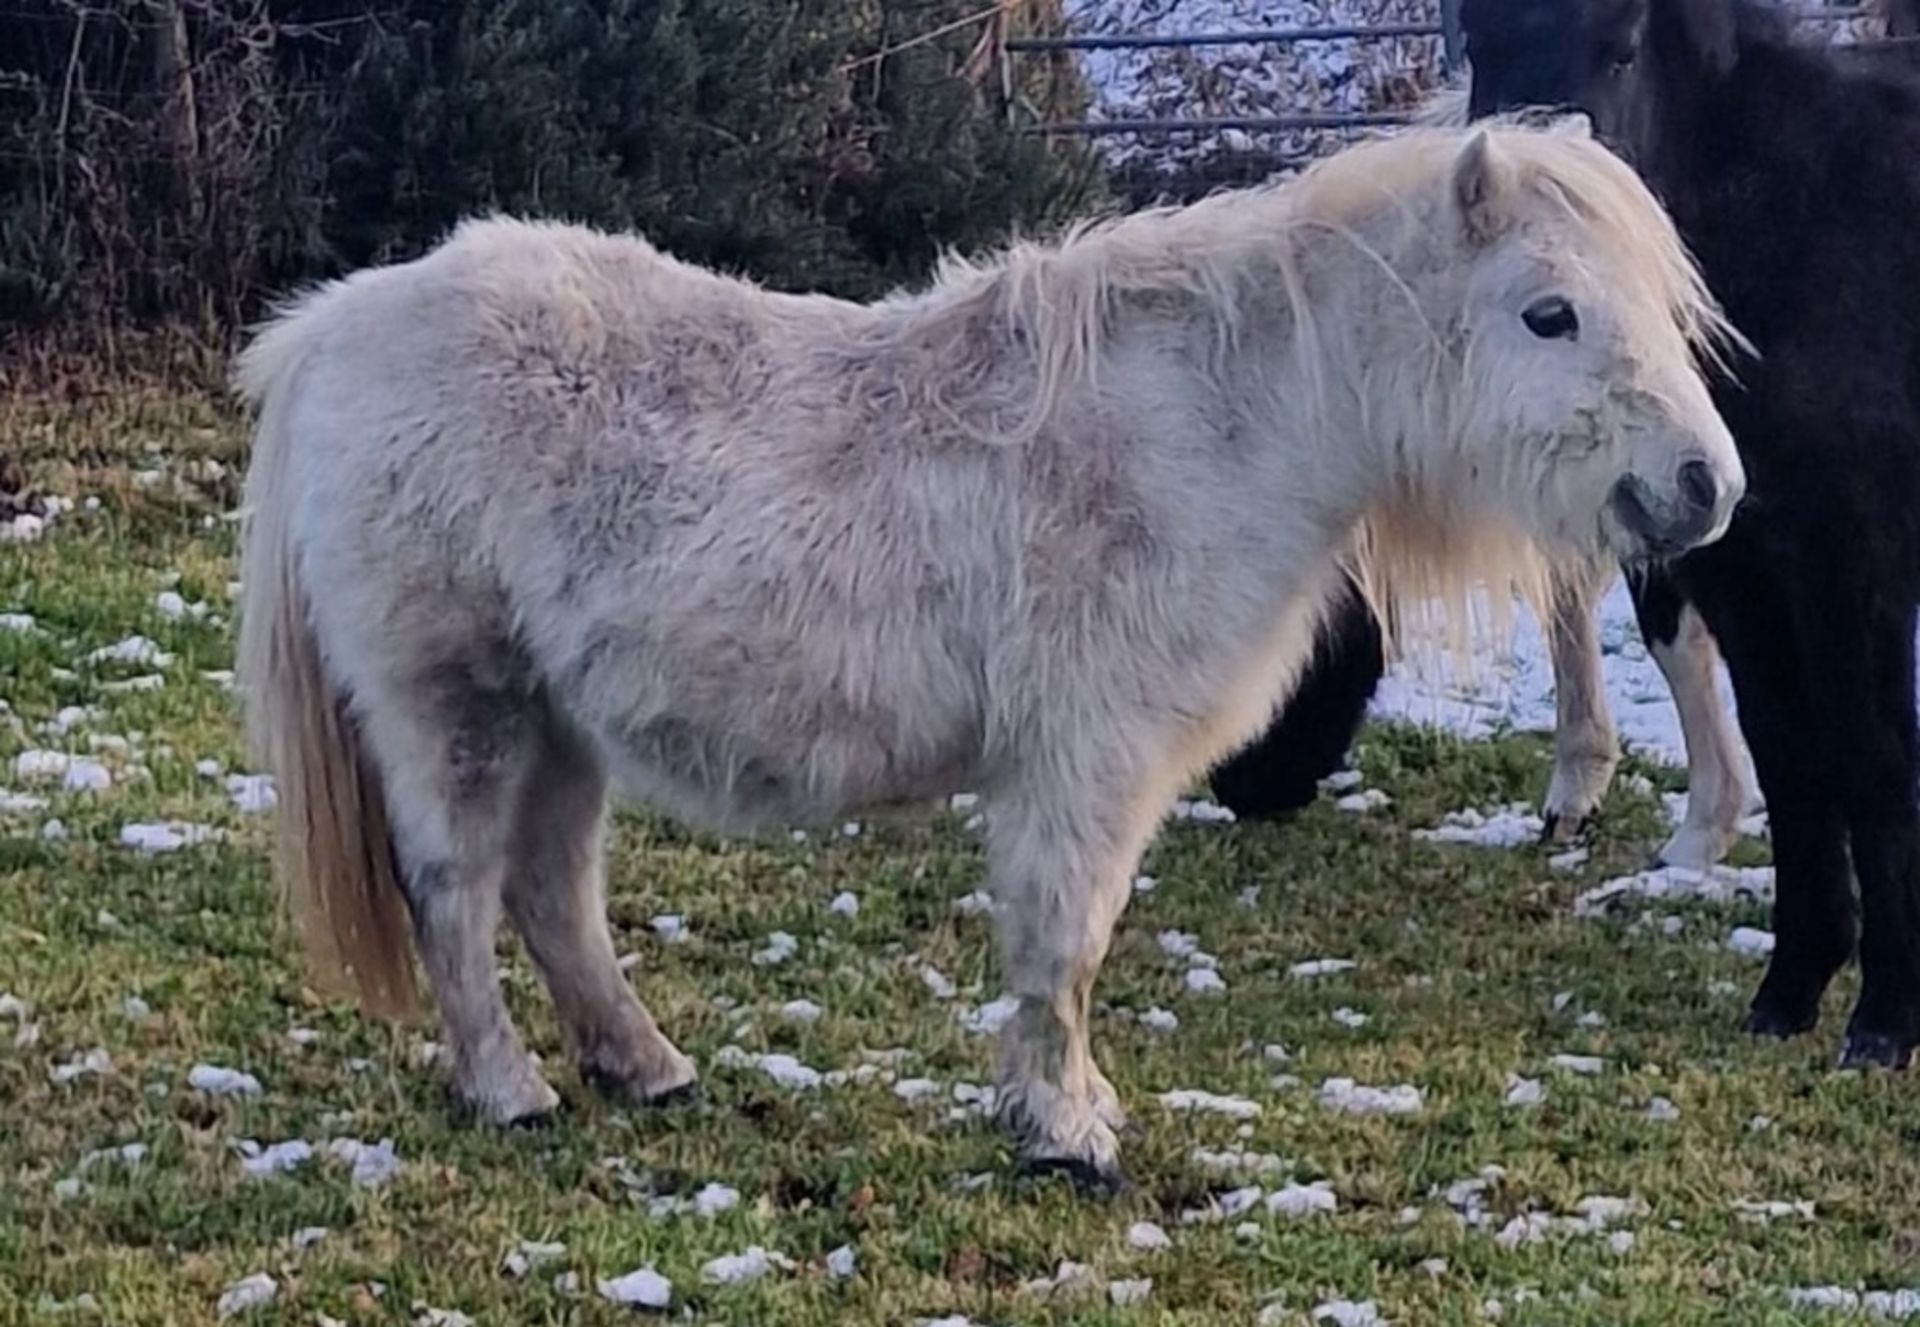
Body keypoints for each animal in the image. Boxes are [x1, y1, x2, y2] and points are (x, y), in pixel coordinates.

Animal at [236, 121, 1743, 1182]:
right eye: (1549, 312)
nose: (1706, 486)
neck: (1213, 425)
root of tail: (335, 327)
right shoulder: (1086, 762)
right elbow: (1064, 944)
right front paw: (1067, 1130)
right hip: (459, 704)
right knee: (457, 892)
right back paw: (511, 1091)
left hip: (557, 719)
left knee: (552, 892)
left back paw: (644, 1063)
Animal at [1221, 0, 1920, 1067]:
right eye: (1479, 39)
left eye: (1623, 47)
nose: (1236, 783)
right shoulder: (1740, 564)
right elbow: (1790, 750)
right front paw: (1789, 989)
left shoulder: (1849, 565)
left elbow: (1869, 753)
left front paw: (1885, 1018)